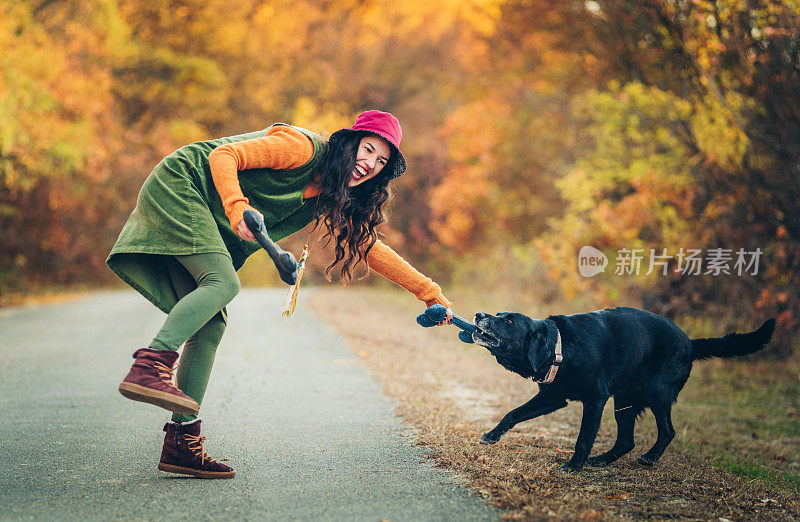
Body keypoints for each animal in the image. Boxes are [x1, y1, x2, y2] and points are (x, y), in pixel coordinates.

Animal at [476, 304, 776, 472]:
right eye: (498, 314)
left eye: (509, 321)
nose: (479, 314)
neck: (563, 347)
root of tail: (690, 343)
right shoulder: (553, 398)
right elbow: (512, 414)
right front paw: (492, 435)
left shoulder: (595, 400)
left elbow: (583, 439)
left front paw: (573, 467)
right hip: (625, 402)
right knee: (626, 441)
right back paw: (602, 460)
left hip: (657, 393)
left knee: (667, 431)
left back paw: (649, 458)